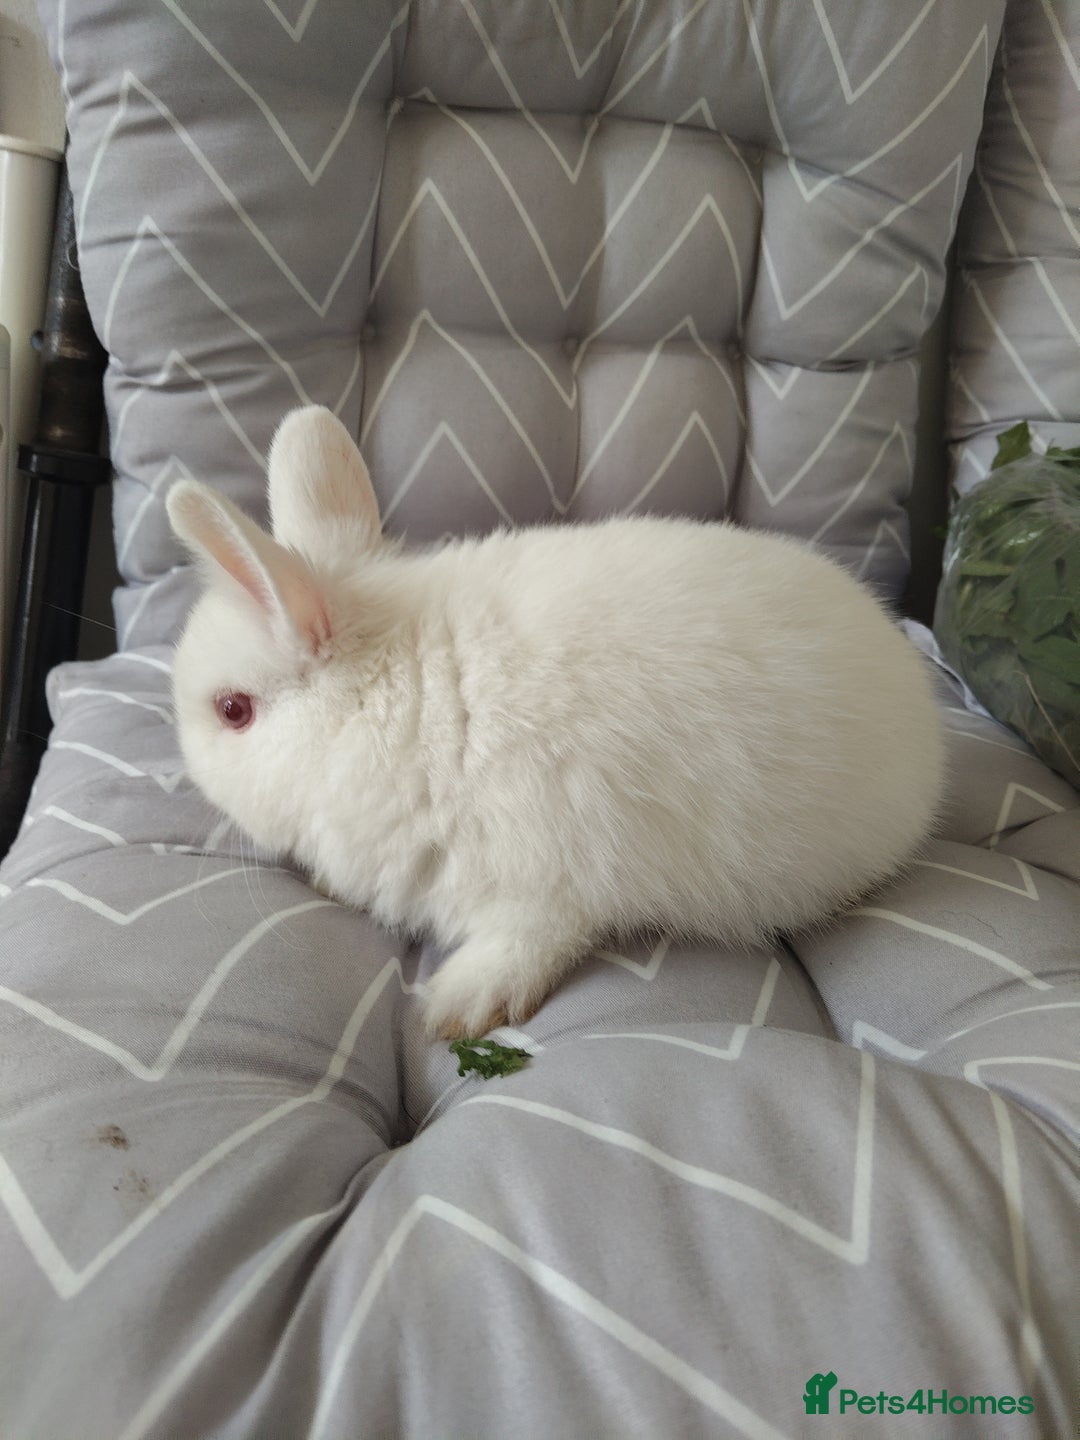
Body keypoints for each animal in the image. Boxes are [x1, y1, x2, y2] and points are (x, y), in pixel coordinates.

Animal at [166, 405, 945, 1040]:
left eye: (232, 711)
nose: (188, 774)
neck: (402, 696)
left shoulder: (545, 872)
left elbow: (532, 939)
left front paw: (457, 1008)